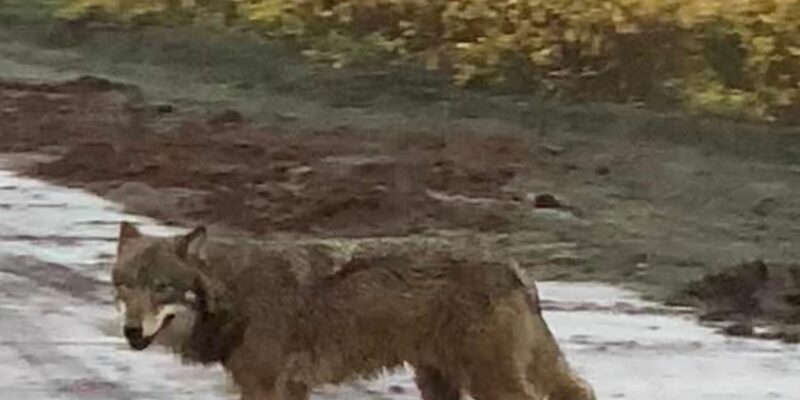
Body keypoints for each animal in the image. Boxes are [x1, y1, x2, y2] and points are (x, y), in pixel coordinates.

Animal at [112, 221, 595, 400]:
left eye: (162, 288)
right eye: (124, 286)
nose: (131, 332)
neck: (235, 295)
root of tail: (514, 265)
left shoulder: (266, 387)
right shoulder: (290, 388)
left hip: (487, 380)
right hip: (438, 381)